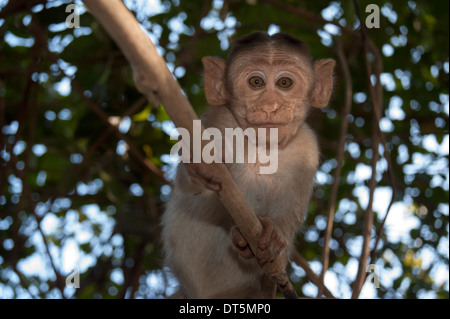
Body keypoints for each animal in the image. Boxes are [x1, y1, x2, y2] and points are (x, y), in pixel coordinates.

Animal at [162, 31, 334, 298]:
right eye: (256, 82)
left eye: (285, 83)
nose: (270, 107)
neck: (262, 148)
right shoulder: (217, 121)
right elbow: (191, 188)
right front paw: (201, 168)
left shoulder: (307, 149)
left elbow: (287, 223)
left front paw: (273, 235)